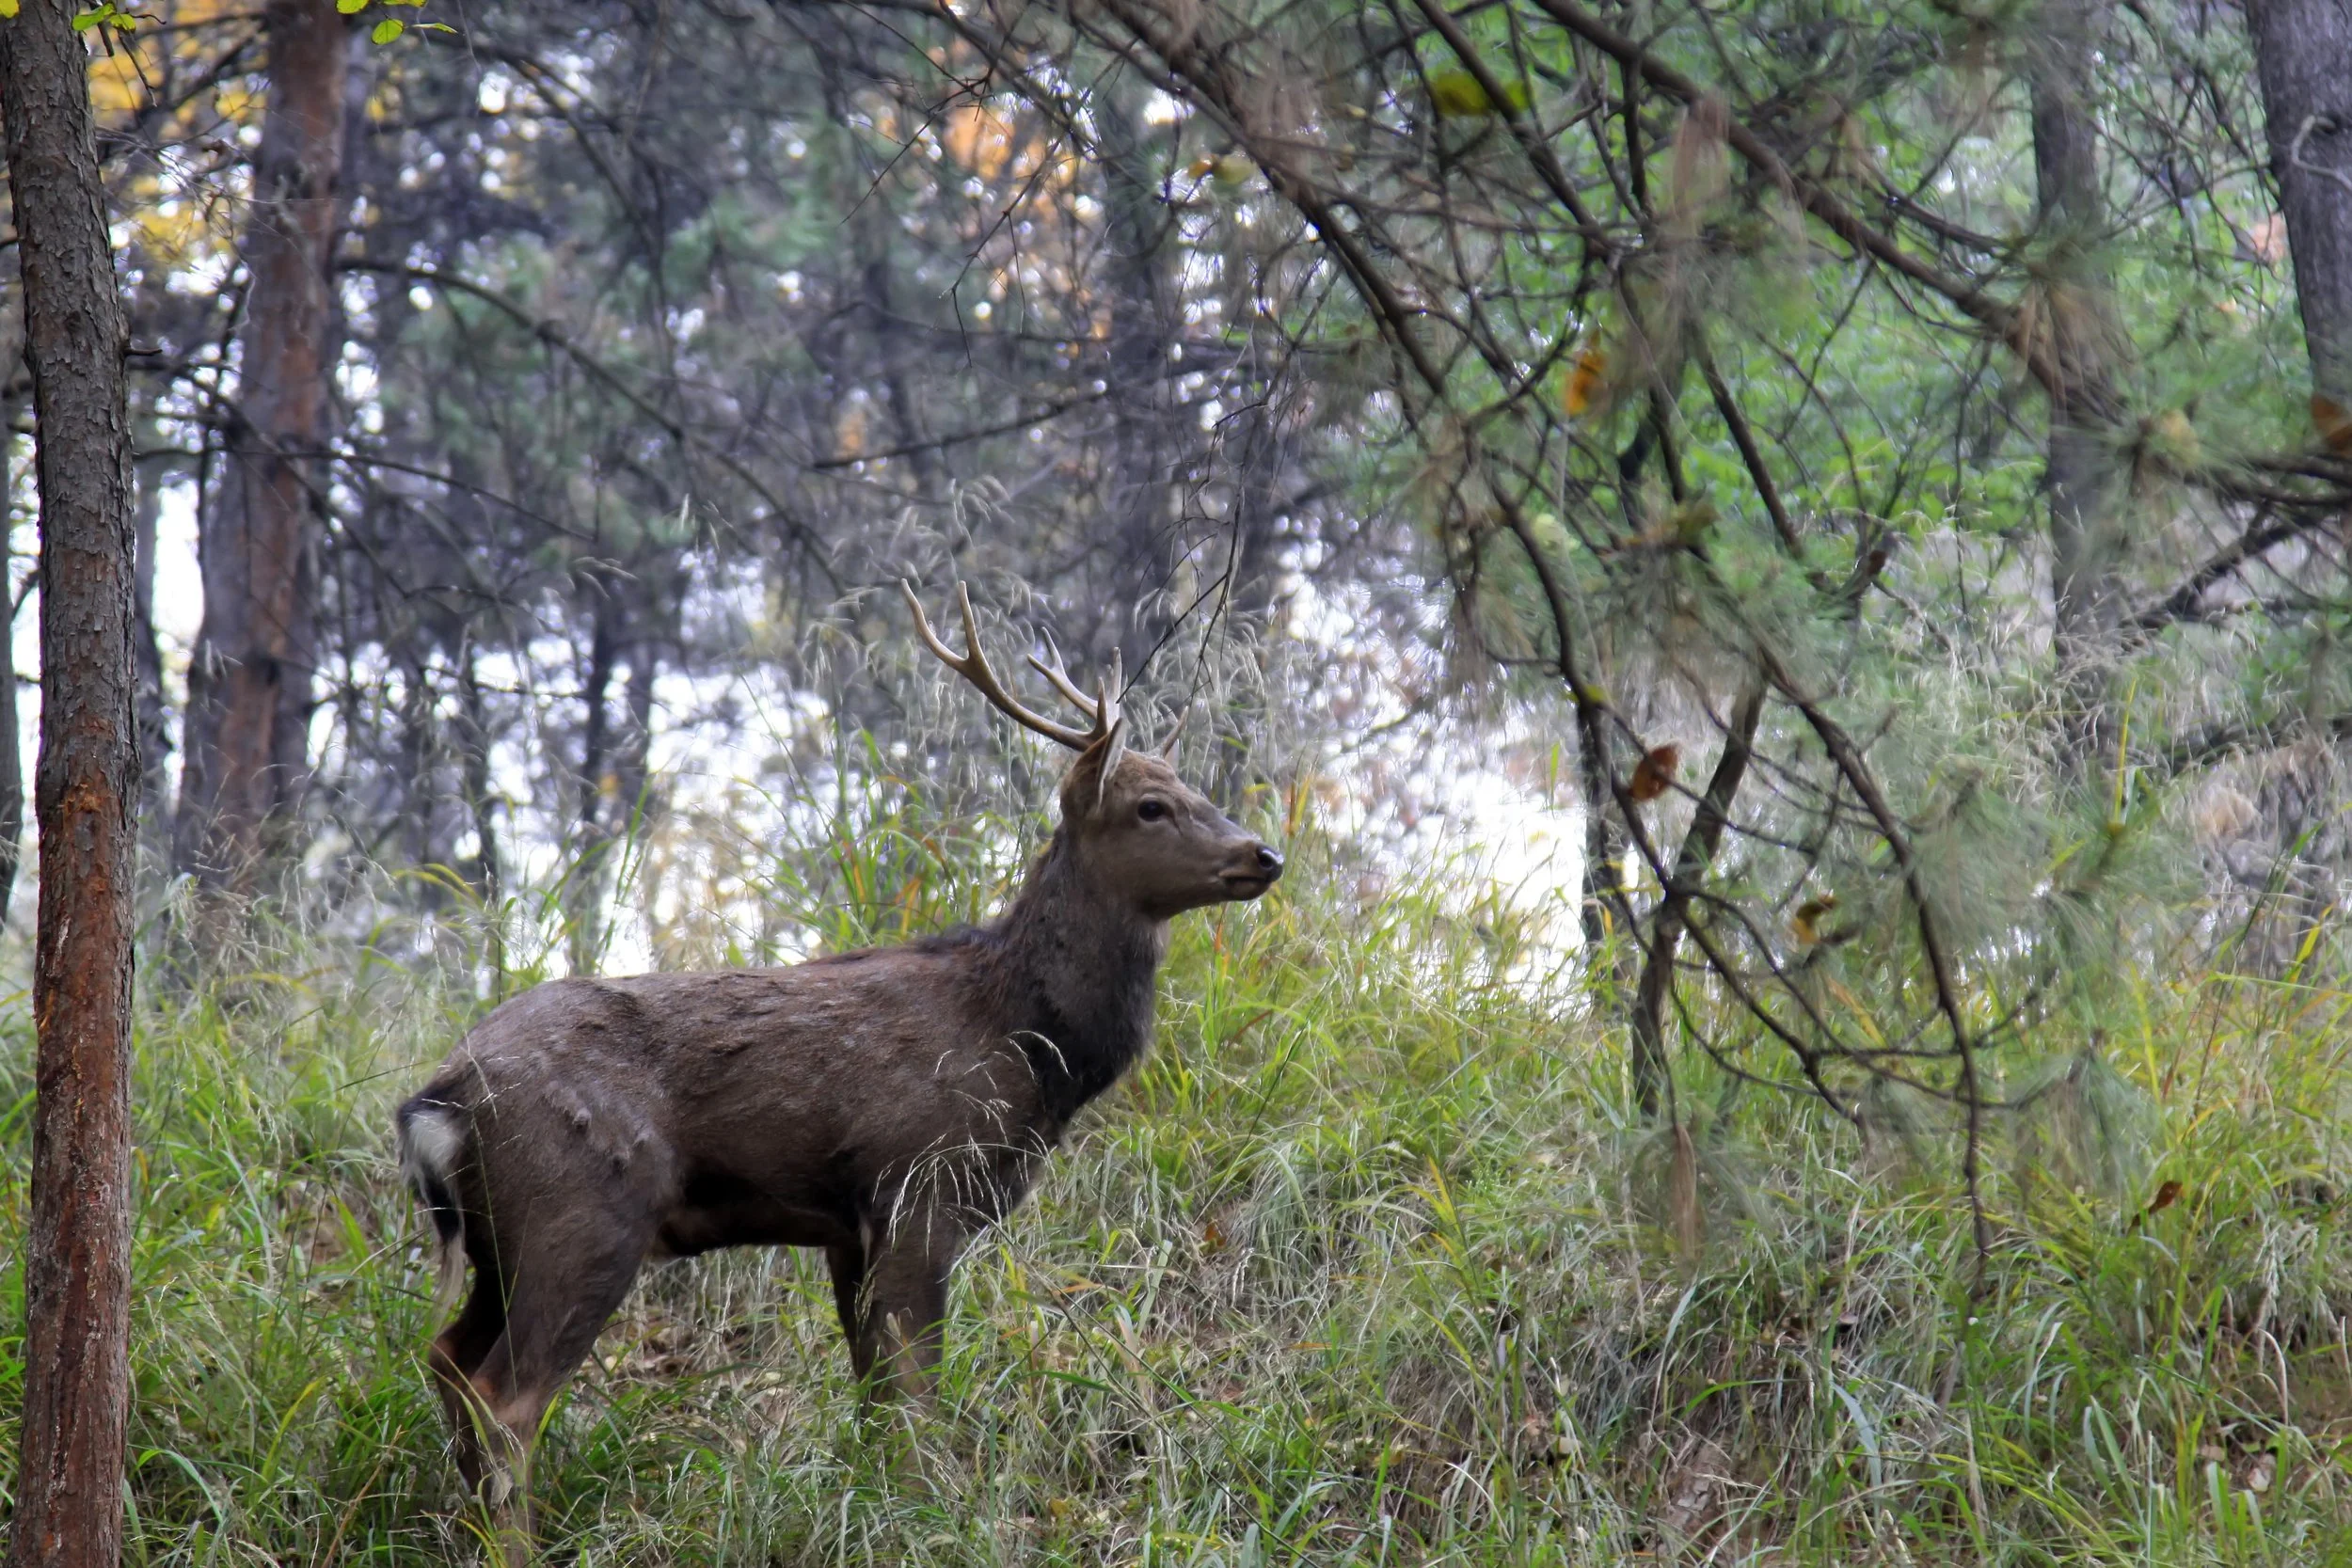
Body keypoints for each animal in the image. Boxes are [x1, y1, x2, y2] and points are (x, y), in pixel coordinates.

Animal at [395, 583, 1283, 1560]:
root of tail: (439, 1099)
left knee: (447, 1358)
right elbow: (919, 1394)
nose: (1263, 854)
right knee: (506, 1398)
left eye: (1195, 790)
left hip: (494, 1238)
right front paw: (935, 1520)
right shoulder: (919, 1183)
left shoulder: (846, 1226)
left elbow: (876, 1396)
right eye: (1153, 805)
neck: (1022, 1042)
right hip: (582, 1211)